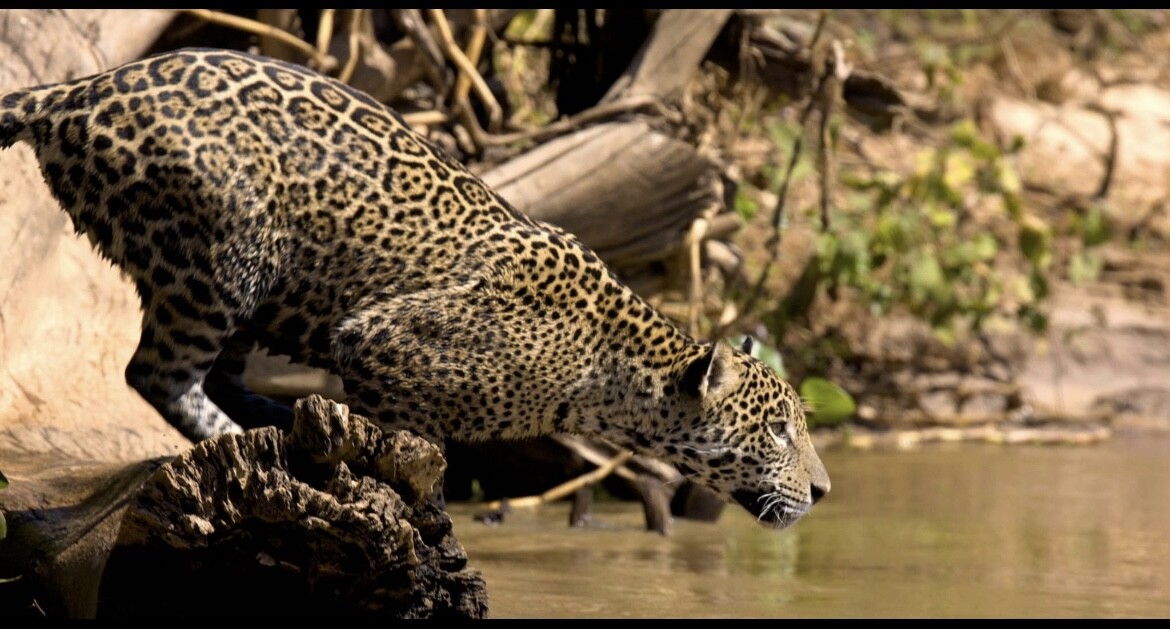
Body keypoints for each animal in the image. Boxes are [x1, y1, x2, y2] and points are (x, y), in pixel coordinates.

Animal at [0, 48, 829, 529]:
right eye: (778, 431)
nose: (822, 490)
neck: (610, 378)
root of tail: (74, 91)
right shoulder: (379, 340)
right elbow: (409, 444)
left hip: (252, 286)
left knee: (217, 372)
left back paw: (274, 417)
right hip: (224, 252)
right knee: (156, 372)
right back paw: (235, 434)